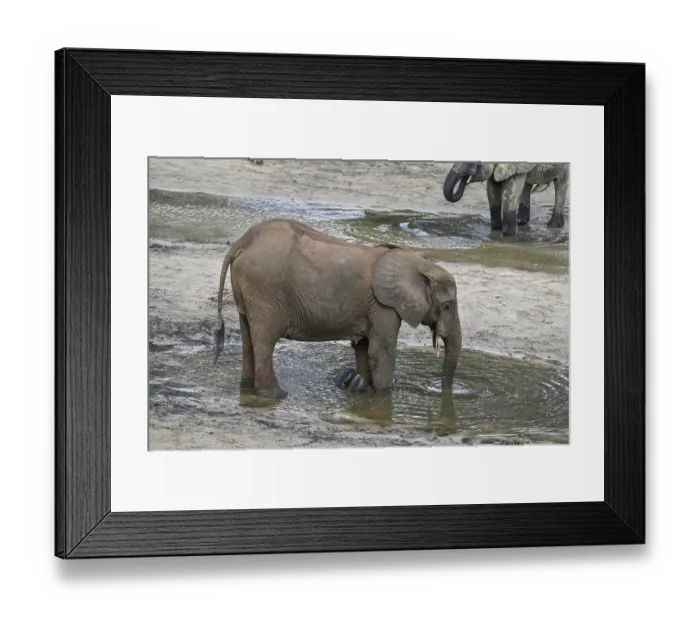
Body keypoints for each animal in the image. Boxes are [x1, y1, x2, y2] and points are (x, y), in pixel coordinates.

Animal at [213, 218, 462, 399]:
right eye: (447, 305)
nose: (445, 390)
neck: (421, 264)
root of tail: (241, 243)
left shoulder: (372, 306)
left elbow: (363, 347)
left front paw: (360, 386)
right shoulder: (384, 306)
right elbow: (381, 350)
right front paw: (382, 396)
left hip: (248, 291)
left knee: (248, 337)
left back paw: (247, 390)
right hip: (265, 291)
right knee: (264, 340)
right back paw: (276, 395)